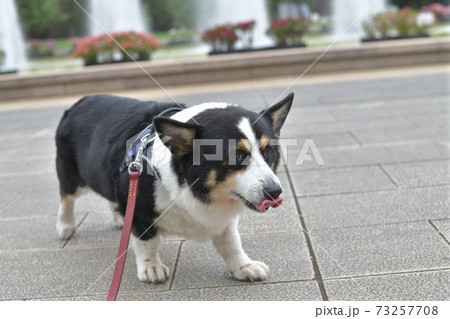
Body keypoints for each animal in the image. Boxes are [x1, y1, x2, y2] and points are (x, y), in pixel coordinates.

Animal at [54, 94, 294, 284]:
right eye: (238, 155)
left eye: (268, 151)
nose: (275, 192)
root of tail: (80, 101)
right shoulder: (140, 214)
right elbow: (147, 242)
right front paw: (151, 268)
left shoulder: (224, 220)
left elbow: (231, 242)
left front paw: (243, 266)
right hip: (72, 176)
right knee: (67, 197)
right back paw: (66, 226)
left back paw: (118, 218)